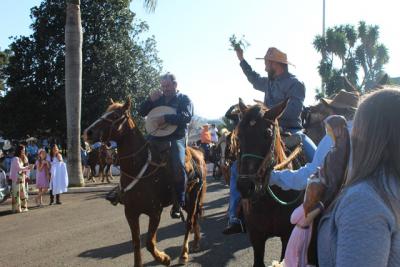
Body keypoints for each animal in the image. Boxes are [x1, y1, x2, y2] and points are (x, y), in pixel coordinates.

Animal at [82, 99, 205, 266]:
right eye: (104, 112)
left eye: (115, 115)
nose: (88, 132)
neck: (138, 167)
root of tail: (198, 154)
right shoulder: (131, 213)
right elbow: (136, 243)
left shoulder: (155, 212)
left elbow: (149, 243)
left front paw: (164, 258)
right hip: (186, 201)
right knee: (195, 220)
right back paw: (196, 243)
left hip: (192, 197)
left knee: (189, 223)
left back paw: (184, 254)